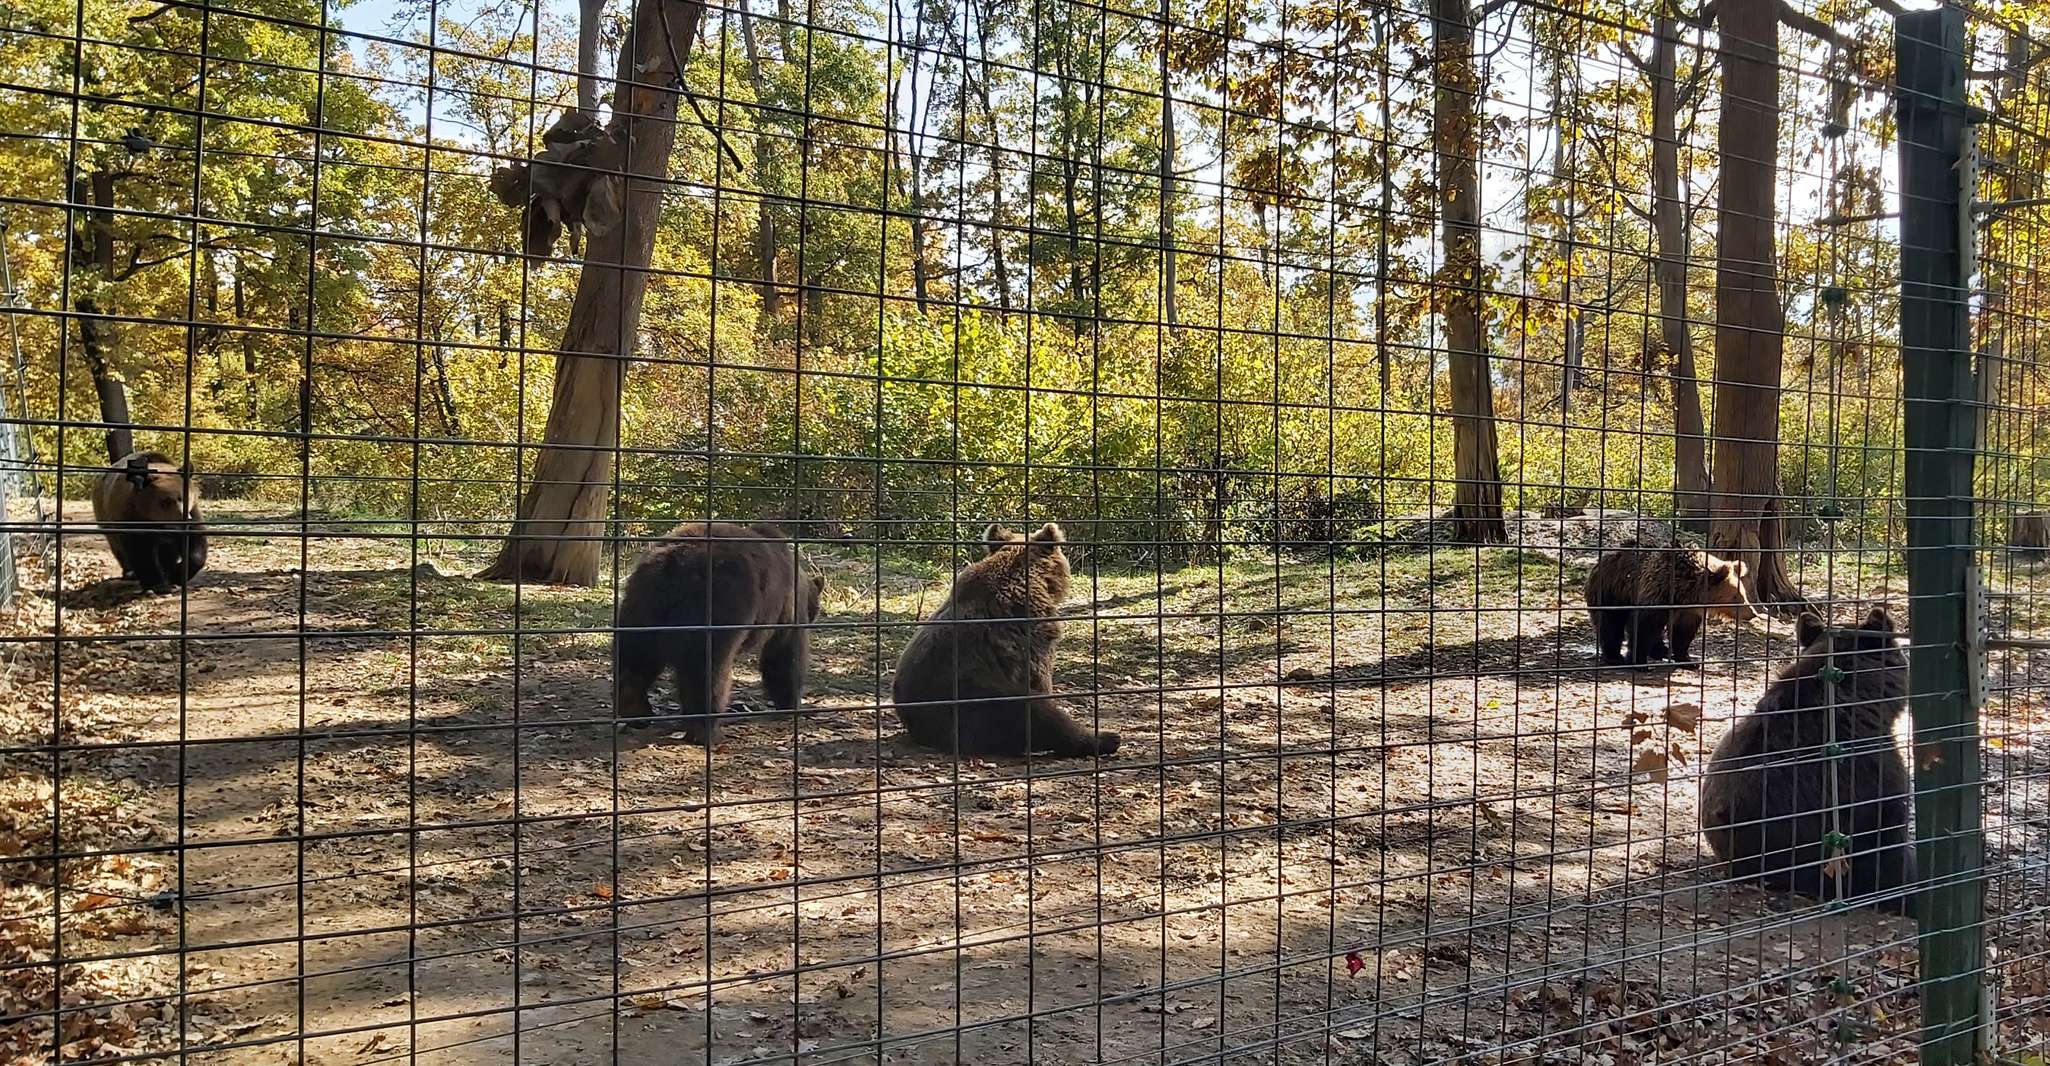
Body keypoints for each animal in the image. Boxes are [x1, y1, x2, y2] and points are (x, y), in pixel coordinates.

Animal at [90, 448, 208, 594]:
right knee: (117, 545)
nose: (183, 521)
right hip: (104, 514)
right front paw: (158, 584)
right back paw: (130, 573)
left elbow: (195, 543)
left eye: (185, 498)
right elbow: (141, 550)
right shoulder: (132, 516)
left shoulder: (192, 513)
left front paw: (176, 574)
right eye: (166, 501)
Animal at [606, 520, 824, 746]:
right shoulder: (787, 608)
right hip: (719, 600)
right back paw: (707, 729)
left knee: (637, 657)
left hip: (642, 606)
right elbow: (784, 655)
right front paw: (791, 704)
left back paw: (635, 709)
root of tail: (671, 562)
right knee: (706, 667)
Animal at [1582, 541, 1763, 664]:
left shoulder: (1688, 611)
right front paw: (1638, 660)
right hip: (1612, 592)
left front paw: (1687, 659)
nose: (1752, 613)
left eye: (1743, 594)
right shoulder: (1657, 594)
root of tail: (1602, 559)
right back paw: (1614, 656)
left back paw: (1660, 650)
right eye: (1736, 596)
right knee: (1610, 623)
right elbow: (1644, 626)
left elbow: (1683, 632)